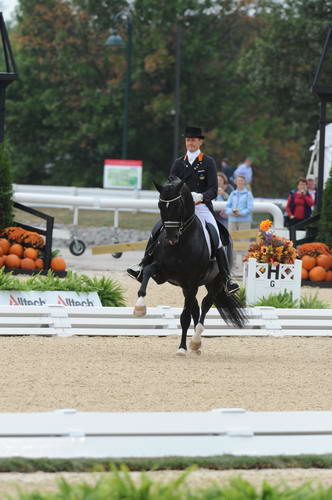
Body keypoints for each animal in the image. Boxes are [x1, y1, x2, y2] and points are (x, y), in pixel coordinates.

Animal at [133, 176, 246, 356]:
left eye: (178, 206)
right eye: (160, 205)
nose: (171, 238)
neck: (180, 244)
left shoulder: (190, 282)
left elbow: (185, 317)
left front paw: (182, 348)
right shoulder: (162, 272)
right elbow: (148, 271)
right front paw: (139, 307)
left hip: (214, 282)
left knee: (205, 305)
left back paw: (195, 341)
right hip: (188, 287)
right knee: (196, 308)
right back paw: (196, 346)